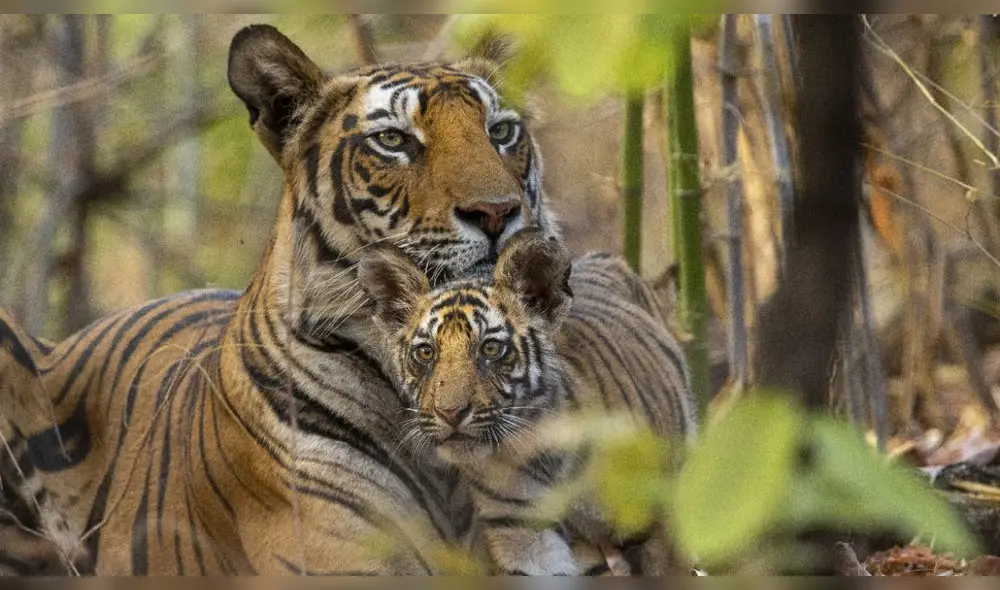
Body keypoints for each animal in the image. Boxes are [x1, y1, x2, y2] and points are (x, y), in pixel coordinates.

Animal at [358, 228, 697, 576]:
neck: (536, 447)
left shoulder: (660, 522)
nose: (450, 413)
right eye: (426, 352)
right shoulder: (524, 534)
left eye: (490, 348)